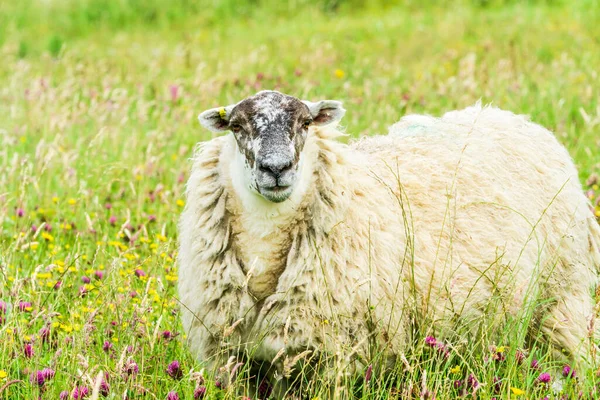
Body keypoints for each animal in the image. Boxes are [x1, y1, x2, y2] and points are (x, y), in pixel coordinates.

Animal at [178, 90, 600, 384]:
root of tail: (508, 116)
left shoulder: (331, 356)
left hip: (560, 297)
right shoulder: (235, 361)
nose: (276, 168)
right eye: (237, 127)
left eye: (306, 124)